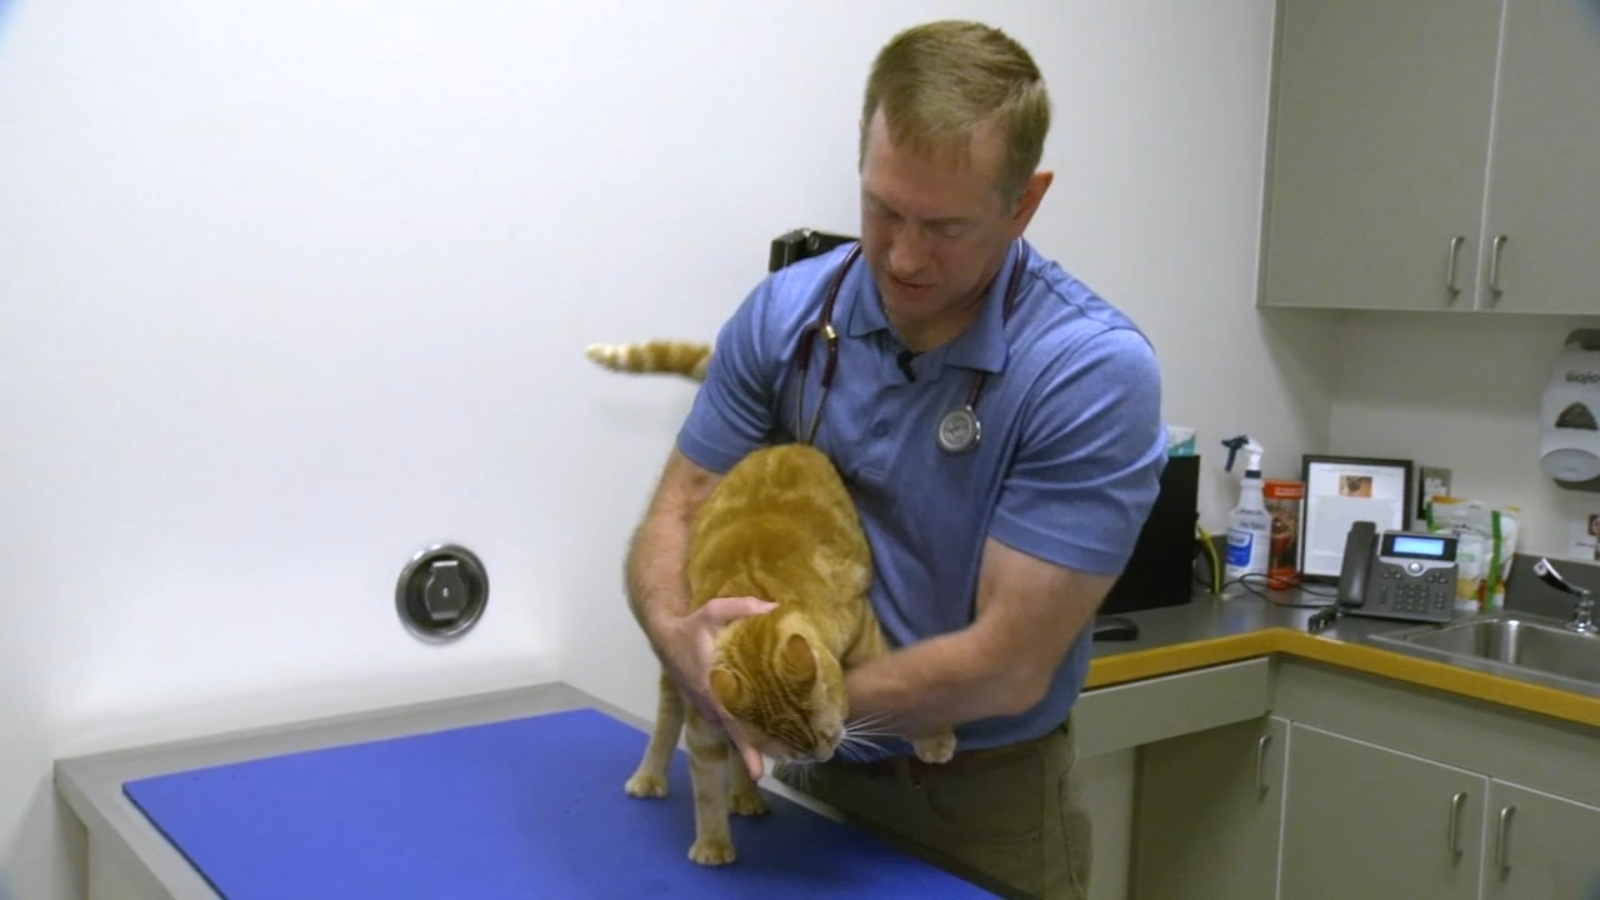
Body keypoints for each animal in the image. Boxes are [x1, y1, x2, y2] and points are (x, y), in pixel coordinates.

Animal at [620, 441, 947, 864]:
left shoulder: (864, 632)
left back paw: (745, 796)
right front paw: (712, 842)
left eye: (828, 735)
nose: (824, 756)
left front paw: (933, 737)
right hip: (675, 679)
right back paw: (650, 776)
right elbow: (706, 787)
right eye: (797, 751)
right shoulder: (704, 714)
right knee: (666, 720)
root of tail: (786, 445)